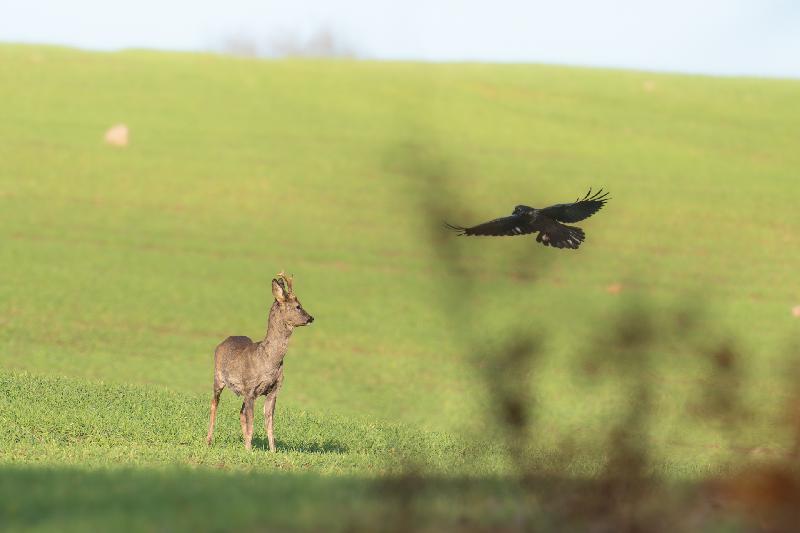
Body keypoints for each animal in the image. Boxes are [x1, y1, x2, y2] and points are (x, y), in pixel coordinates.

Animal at [206, 272, 314, 451]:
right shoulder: (250, 388)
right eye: (298, 306)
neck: (268, 361)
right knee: (214, 403)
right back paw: (208, 440)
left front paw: (272, 451)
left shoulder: (273, 390)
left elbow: (269, 423)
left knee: (240, 412)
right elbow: (252, 422)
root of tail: (223, 342)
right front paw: (249, 451)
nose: (311, 317)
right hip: (218, 377)